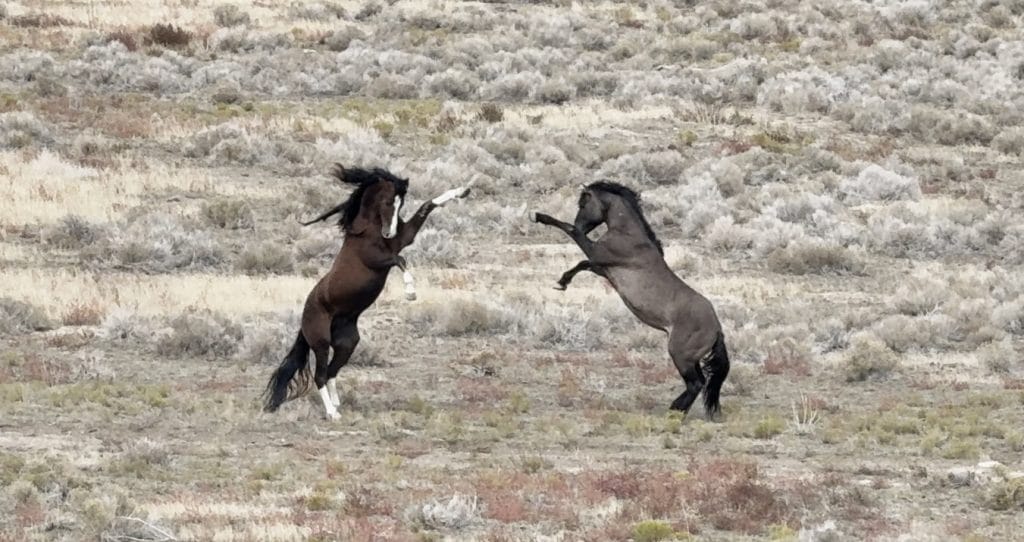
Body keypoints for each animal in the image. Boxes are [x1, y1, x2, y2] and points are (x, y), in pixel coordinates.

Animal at [263, 164, 469, 419]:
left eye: (401, 203)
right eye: (388, 202)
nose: (390, 233)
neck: (369, 229)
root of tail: (304, 318)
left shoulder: (404, 238)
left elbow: (427, 206)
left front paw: (462, 191)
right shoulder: (377, 259)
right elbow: (400, 259)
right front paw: (411, 293)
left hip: (347, 343)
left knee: (331, 372)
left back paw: (337, 404)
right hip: (320, 343)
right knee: (319, 375)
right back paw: (332, 414)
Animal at [533, 181, 730, 419]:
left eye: (583, 203)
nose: (580, 222)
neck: (629, 235)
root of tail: (717, 329)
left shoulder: (597, 253)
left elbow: (573, 234)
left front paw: (541, 217)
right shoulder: (602, 267)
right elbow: (583, 263)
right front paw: (563, 281)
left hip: (681, 355)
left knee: (696, 384)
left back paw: (674, 411)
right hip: (691, 359)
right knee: (699, 382)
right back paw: (676, 410)